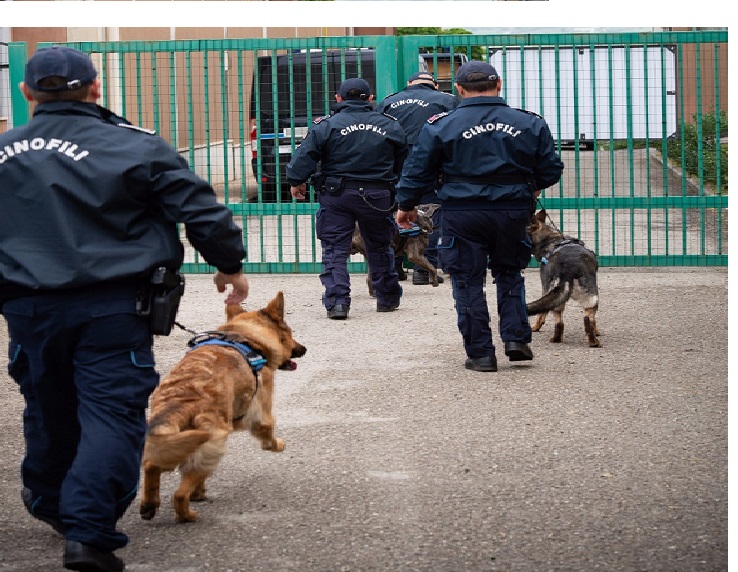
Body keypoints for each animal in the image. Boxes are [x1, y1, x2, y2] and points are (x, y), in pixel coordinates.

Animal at [138, 294, 304, 524]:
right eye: (289, 334)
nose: (303, 349)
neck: (247, 338)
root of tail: (180, 403)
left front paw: (198, 492)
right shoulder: (261, 413)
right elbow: (267, 431)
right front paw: (277, 445)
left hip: (172, 444)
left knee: (152, 466)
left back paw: (150, 504)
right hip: (214, 444)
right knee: (179, 493)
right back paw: (187, 514)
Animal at [524, 208, 600, 346]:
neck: (550, 239)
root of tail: (568, 268)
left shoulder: (545, 290)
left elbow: (541, 313)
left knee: (560, 322)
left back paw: (557, 339)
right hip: (590, 297)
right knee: (586, 318)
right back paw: (593, 342)